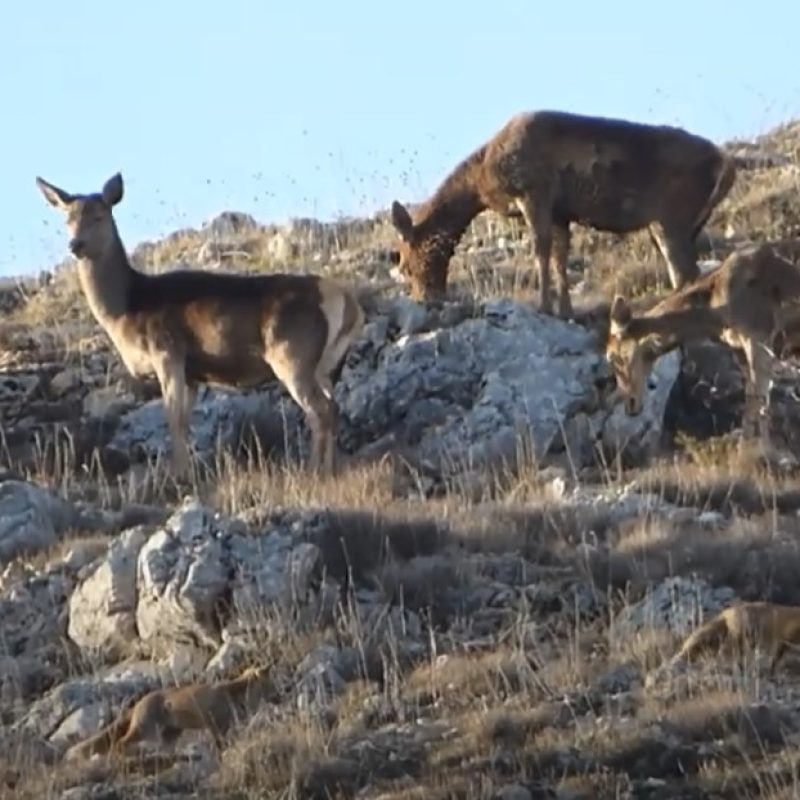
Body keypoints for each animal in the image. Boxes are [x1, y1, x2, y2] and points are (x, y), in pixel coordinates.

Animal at [36, 173, 364, 478]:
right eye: (67, 219)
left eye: (99, 215)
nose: (75, 244)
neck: (128, 308)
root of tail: (347, 303)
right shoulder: (193, 373)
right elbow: (184, 421)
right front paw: (186, 470)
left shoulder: (167, 350)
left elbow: (173, 418)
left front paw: (178, 474)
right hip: (327, 366)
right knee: (333, 407)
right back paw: (330, 467)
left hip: (292, 354)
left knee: (320, 410)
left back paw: (314, 470)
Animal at [64, 664, 276, 760]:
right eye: (271, 686)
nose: (279, 694)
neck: (235, 696)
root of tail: (139, 702)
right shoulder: (215, 724)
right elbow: (221, 745)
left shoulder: (226, 726)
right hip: (145, 730)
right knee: (120, 742)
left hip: (171, 733)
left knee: (165, 749)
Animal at [390, 107, 736, 318]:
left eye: (405, 264)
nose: (426, 299)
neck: (482, 180)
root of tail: (725, 166)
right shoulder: (561, 212)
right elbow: (560, 256)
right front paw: (565, 310)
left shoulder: (534, 191)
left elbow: (540, 249)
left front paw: (544, 306)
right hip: (675, 223)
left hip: (673, 216)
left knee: (687, 273)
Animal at [604, 241, 800, 446]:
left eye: (612, 356)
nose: (631, 405)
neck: (714, 312)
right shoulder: (741, 351)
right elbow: (753, 400)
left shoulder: (758, 338)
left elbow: (759, 402)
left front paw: (762, 449)